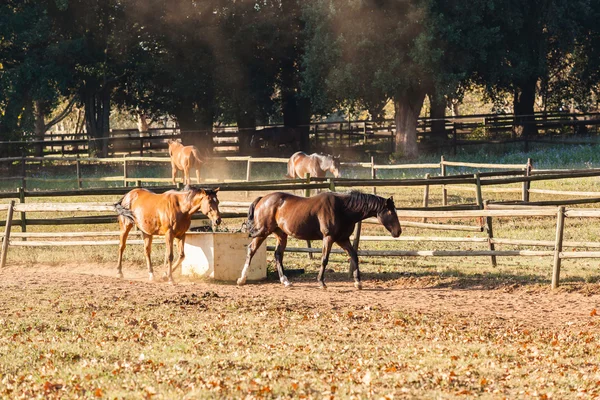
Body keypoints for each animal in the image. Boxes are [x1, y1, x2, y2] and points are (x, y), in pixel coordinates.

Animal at [237, 191, 400, 290]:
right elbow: (324, 259)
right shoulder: (328, 238)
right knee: (251, 250)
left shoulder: (343, 239)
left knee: (278, 255)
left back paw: (285, 281)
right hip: (263, 232)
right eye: (391, 212)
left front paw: (358, 282)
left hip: (281, 235)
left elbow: (354, 256)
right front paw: (321, 282)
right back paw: (242, 279)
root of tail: (262, 198)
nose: (398, 232)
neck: (343, 209)